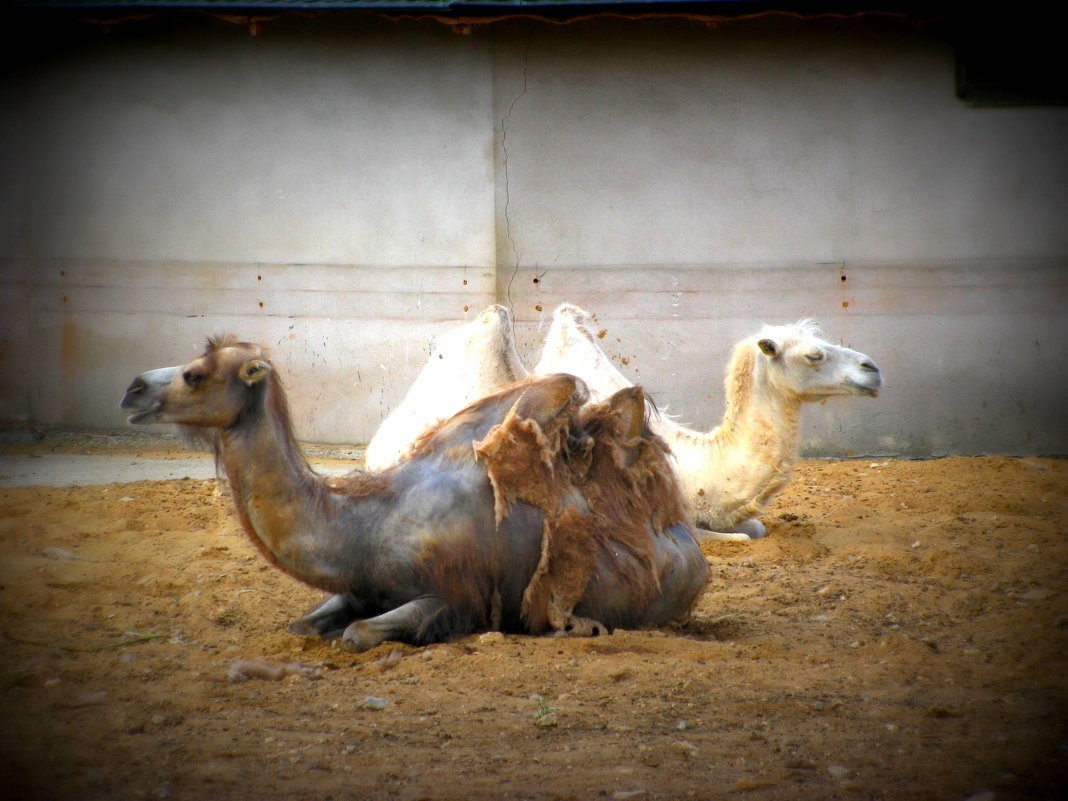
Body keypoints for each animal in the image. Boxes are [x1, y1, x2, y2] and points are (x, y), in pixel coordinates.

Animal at [119, 337, 709, 653]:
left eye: (194, 375)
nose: (133, 389)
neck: (367, 525)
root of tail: (687, 540)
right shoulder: (362, 585)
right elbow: (303, 624)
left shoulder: (452, 596)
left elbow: (358, 634)